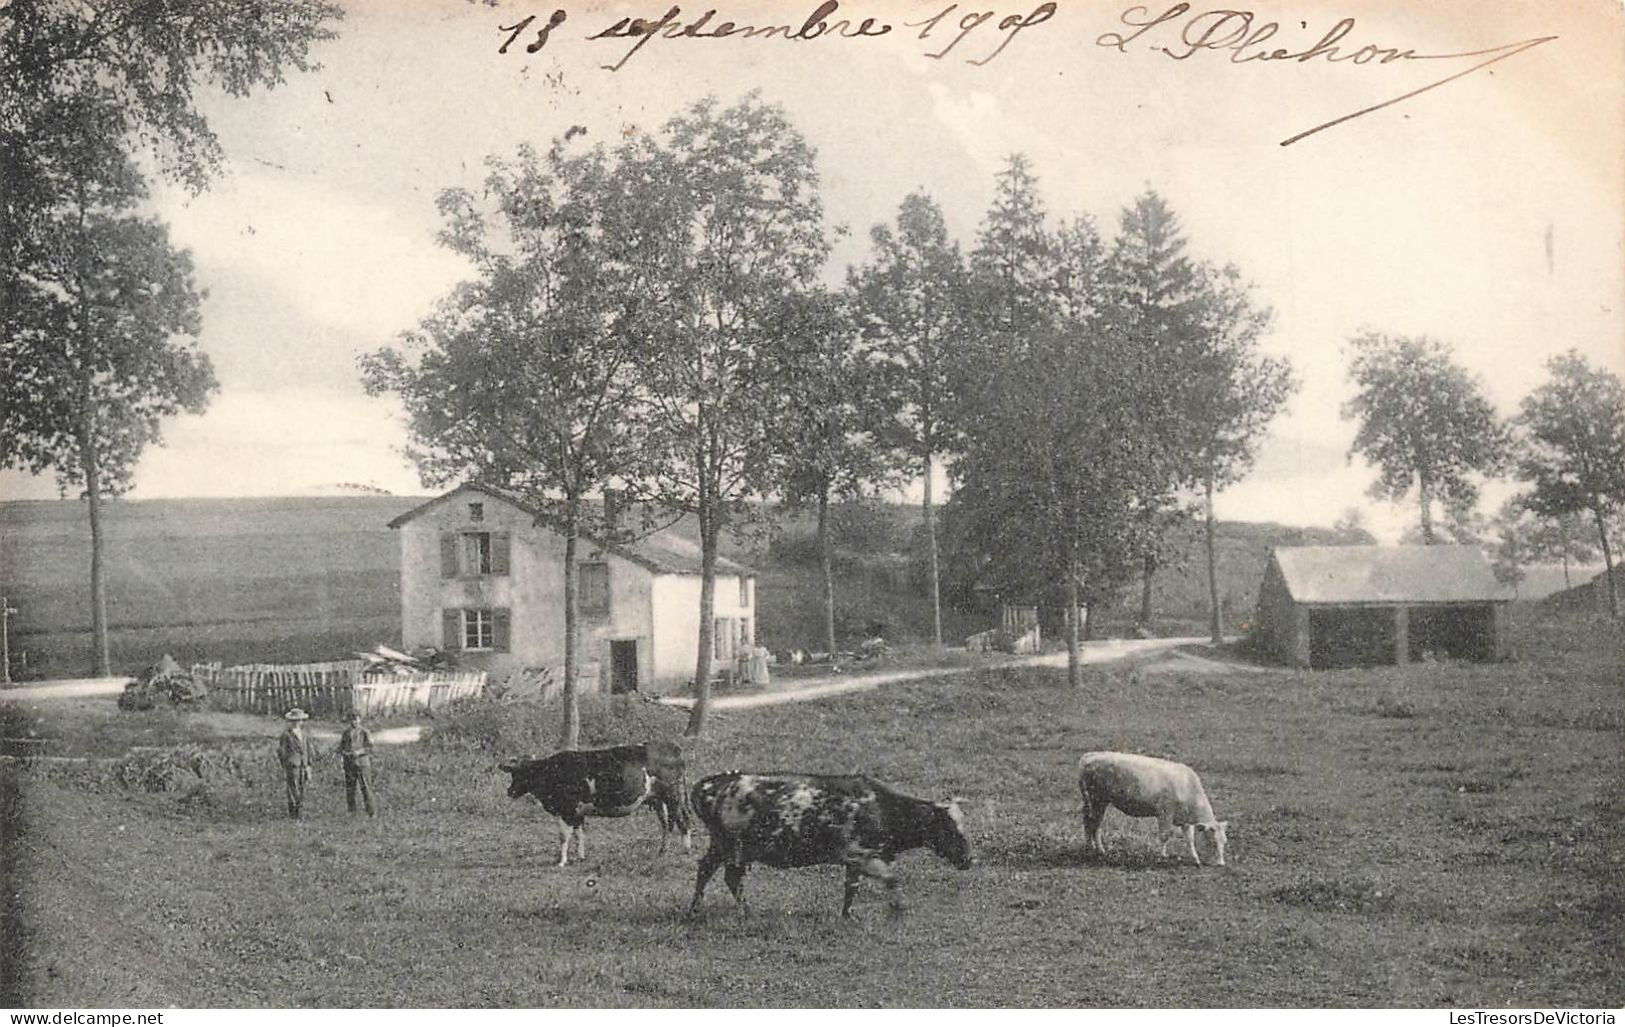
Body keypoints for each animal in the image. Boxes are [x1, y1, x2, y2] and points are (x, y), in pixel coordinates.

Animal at [500, 737, 692, 864]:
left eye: (519, 773)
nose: (510, 791)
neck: (552, 771)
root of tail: (673, 747)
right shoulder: (577, 812)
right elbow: (579, 833)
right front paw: (580, 856)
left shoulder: (566, 810)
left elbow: (564, 836)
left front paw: (561, 861)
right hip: (659, 800)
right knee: (666, 824)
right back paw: (663, 851)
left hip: (673, 796)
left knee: (681, 820)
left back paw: (685, 850)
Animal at [689, 770, 968, 923]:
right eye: (949, 828)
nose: (969, 859)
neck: (880, 806)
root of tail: (712, 783)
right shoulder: (860, 854)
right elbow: (890, 879)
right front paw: (898, 910)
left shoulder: (858, 860)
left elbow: (851, 887)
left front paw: (848, 915)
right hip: (733, 848)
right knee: (730, 878)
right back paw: (745, 912)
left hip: (720, 846)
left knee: (706, 870)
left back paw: (695, 909)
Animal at [1085, 747, 1222, 864]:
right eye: (1212, 843)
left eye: (1224, 842)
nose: (1221, 863)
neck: (1188, 786)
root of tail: (1091, 755)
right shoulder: (1165, 814)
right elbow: (1165, 836)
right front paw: (1162, 856)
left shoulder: (1185, 821)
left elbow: (1190, 839)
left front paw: (1195, 858)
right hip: (1097, 801)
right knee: (1094, 824)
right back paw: (1097, 849)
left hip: (1094, 803)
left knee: (1090, 822)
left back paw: (1091, 846)